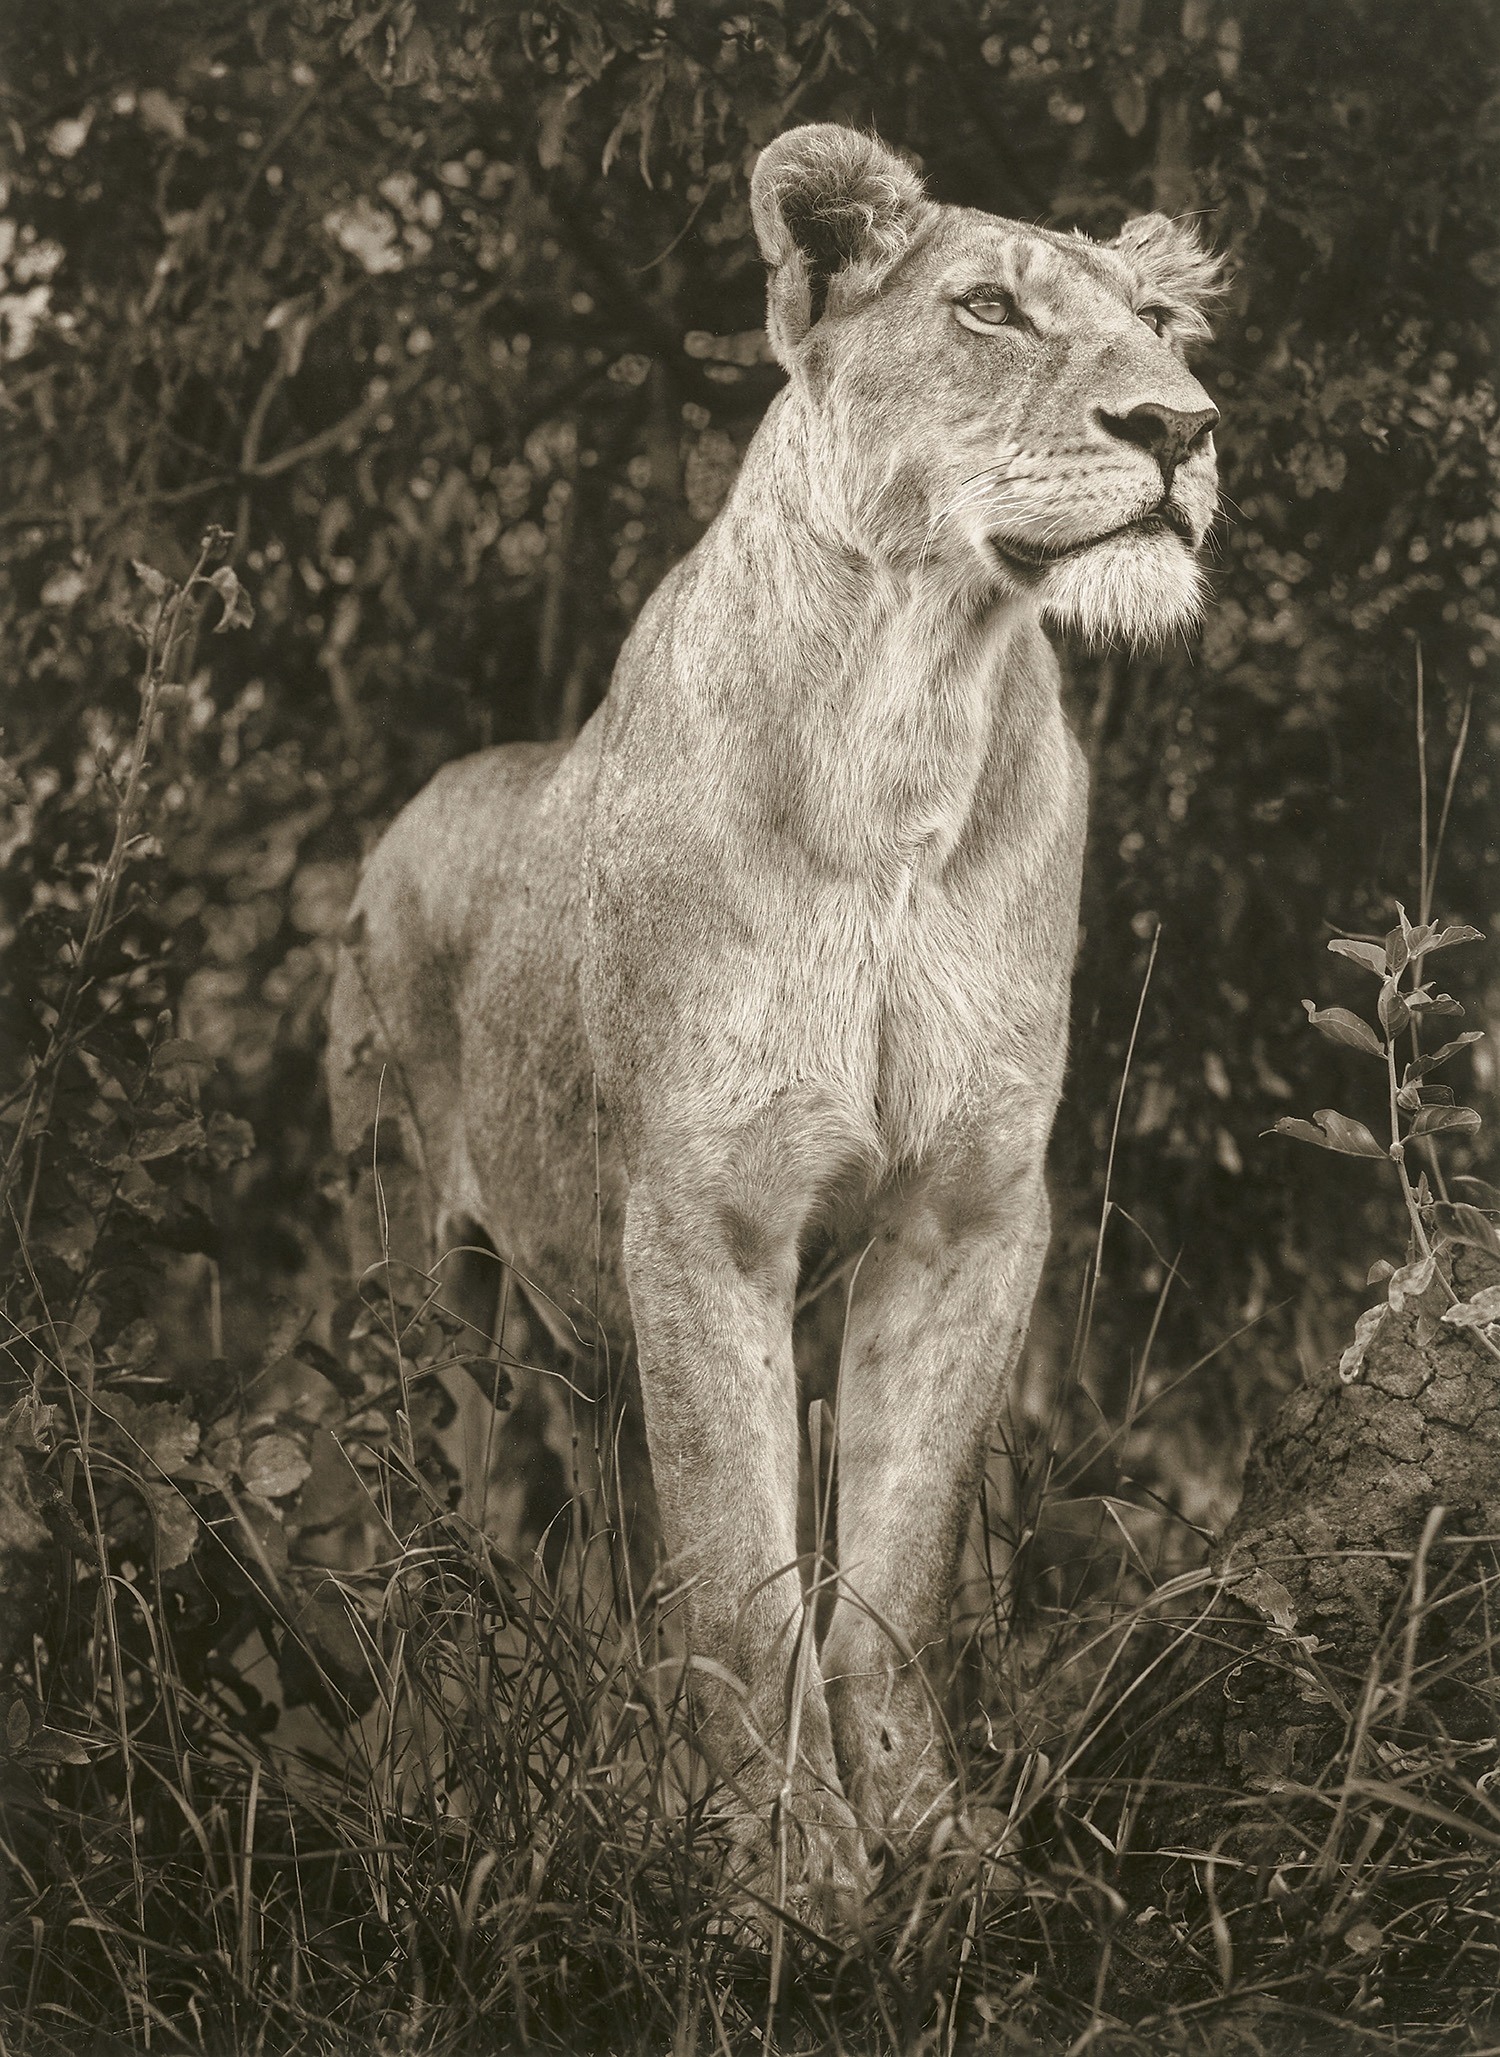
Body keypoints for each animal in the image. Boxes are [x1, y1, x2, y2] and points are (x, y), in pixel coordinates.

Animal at [326, 123, 1221, 1921]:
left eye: (1161, 319)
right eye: (990, 309)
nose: (1180, 428)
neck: (917, 711)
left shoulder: (969, 1216)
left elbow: (888, 1571)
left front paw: (935, 1852)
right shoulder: (709, 1210)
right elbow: (747, 1568)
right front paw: (791, 1882)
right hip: (413, 1284)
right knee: (428, 1539)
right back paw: (424, 1788)